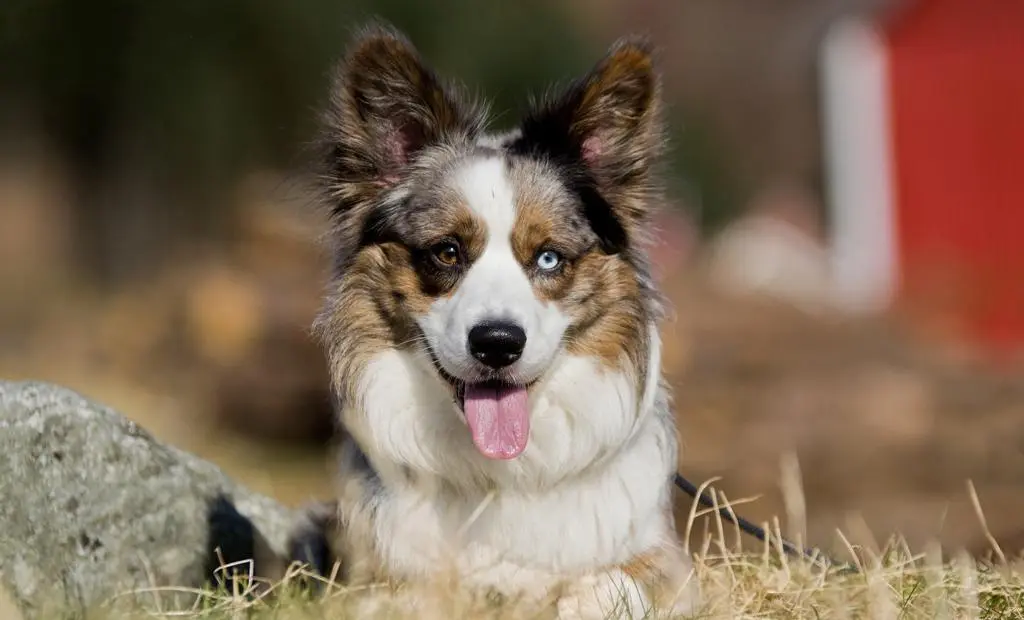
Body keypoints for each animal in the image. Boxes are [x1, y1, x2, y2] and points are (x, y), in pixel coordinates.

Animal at [280, 21, 700, 614]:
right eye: (447, 252)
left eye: (548, 258)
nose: (498, 343)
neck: (501, 472)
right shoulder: (370, 580)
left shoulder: (664, 564)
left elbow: (612, 586)